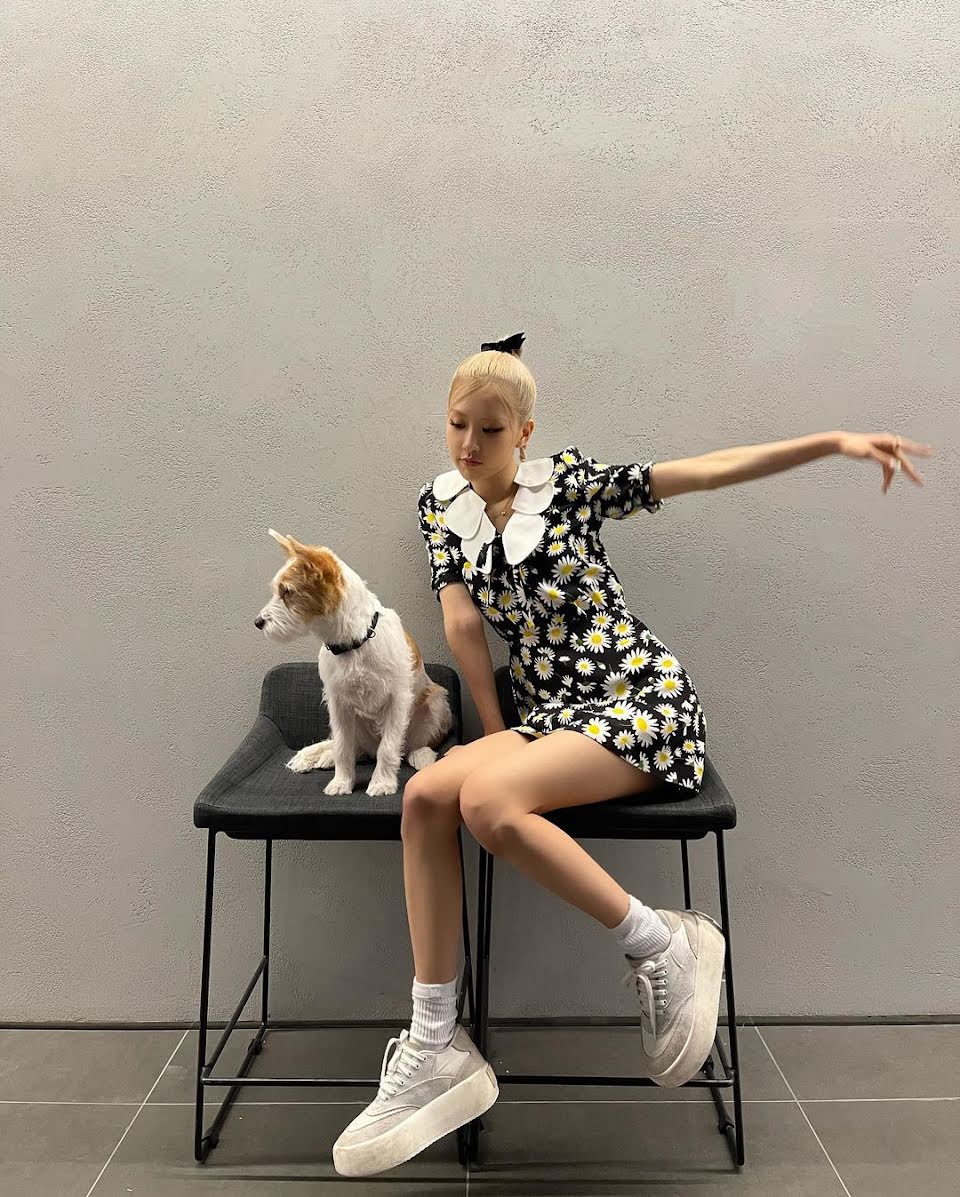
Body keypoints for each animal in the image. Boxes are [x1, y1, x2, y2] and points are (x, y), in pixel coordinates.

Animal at [255, 529, 453, 796]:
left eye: (287, 592)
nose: (258, 622)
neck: (353, 643)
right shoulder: (337, 703)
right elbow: (342, 747)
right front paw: (342, 782)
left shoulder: (397, 699)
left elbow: (388, 747)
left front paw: (382, 783)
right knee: (352, 747)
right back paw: (324, 757)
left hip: (436, 704)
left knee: (408, 746)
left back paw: (421, 756)